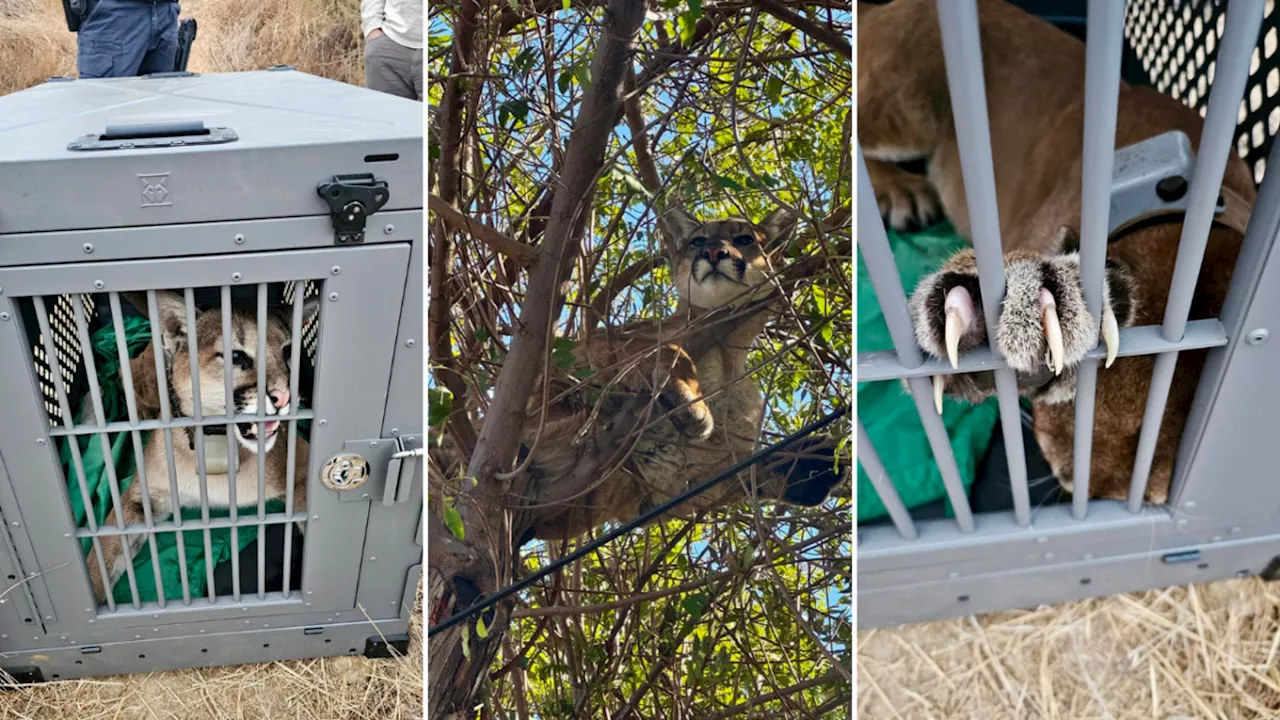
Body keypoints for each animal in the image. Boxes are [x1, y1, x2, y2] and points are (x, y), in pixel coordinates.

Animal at [87, 292, 314, 599]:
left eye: (288, 352)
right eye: (236, 356)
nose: (285, 397)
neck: (217, 441)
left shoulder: (302, 459)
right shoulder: (143, 496)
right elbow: (104, 552)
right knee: (125, 371)